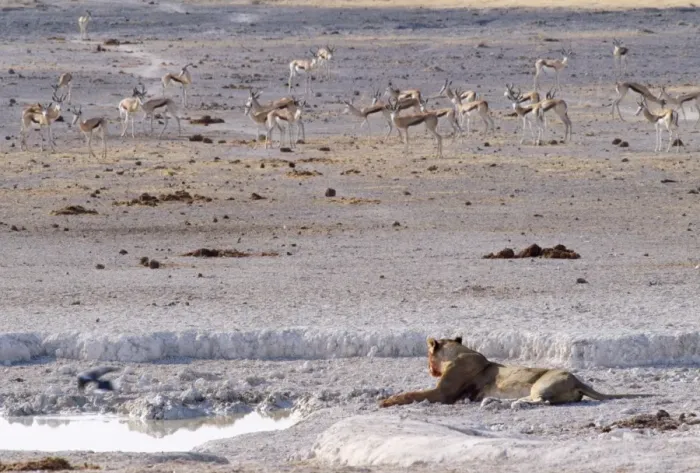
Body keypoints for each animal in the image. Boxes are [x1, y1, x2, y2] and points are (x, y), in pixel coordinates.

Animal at [379, 336, 652, 408]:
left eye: (428, 356)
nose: (429, 369)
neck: (458, 352)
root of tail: (578, 380)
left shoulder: (443, 393)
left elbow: (412, 393)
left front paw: (387, 401)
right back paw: (496, 400)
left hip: (541, 383)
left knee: (541, 401)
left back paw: (510, 403)